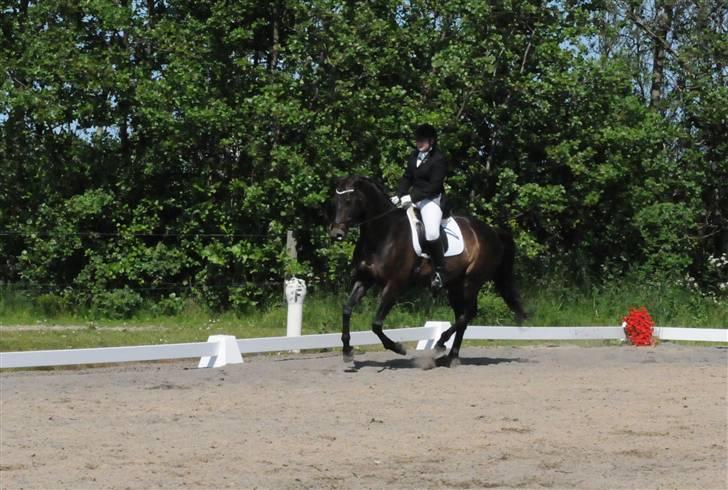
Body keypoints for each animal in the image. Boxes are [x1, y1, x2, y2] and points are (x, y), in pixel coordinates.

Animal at [328, 174, 528, 366]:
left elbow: (376, 323)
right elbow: (346, 310)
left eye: (349, 200)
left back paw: (440, 345)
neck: (383, 233)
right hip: (454, 285)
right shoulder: (364, 280)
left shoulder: (395, 285)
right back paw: (451, 356)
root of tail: (492, 232)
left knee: (468, 313)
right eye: (335, 201)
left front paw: (398, 348)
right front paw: (347, 351)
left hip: (472, 281)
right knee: (462, 315)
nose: (337, 234)